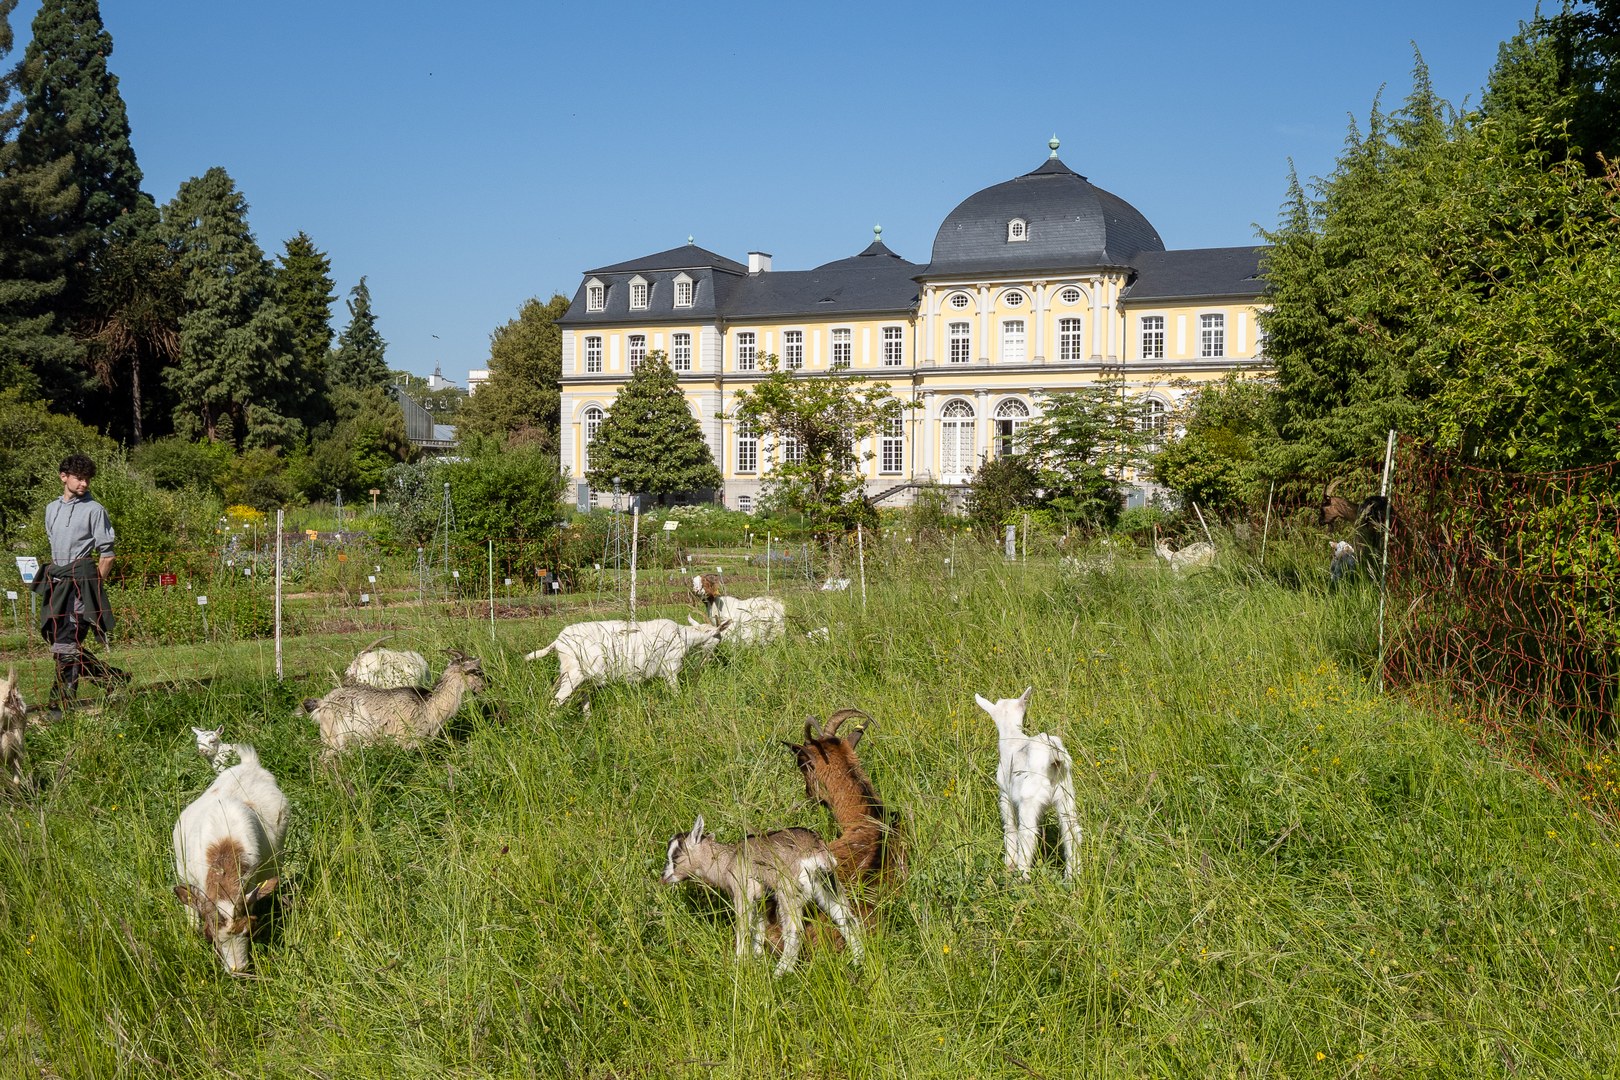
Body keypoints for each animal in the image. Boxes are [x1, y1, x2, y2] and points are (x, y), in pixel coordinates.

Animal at [301, 647, 482, 757]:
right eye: (477, 671)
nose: (485, 686)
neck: (427, 705)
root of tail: (322, 703)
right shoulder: (403, 740)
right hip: (332, 737)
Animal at [524, 615, 729, 709]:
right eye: (718, 638)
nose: (708, 660)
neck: (683, 636)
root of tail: (558, 641)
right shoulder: (670, 668)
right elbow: (676, 692)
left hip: (578, 675)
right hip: (572, 674)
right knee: (555, 702)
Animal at [657, 816, 861, 977]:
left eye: (676, 856)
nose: (664, 876)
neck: (727, 861)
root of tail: (814, 852)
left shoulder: (743, 895)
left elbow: (743, 929)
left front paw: (739, 963)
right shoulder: (762, 900)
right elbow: (759, 929)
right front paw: (756, 959)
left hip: (788, 889)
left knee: (794, 930)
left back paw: (780, 973)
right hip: (829, 884)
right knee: (847, 919)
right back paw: (859, 960)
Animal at [972, 693, 1075, 880]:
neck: (1012, 736)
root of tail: (1053, 757)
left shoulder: (1005, 794)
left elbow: (1009, 827)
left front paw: (1009, 862)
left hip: (1029, 798)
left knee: (1028, 834)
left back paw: (1022, 876)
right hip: (1066, 795)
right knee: (1071, 833)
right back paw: (1072, 876)